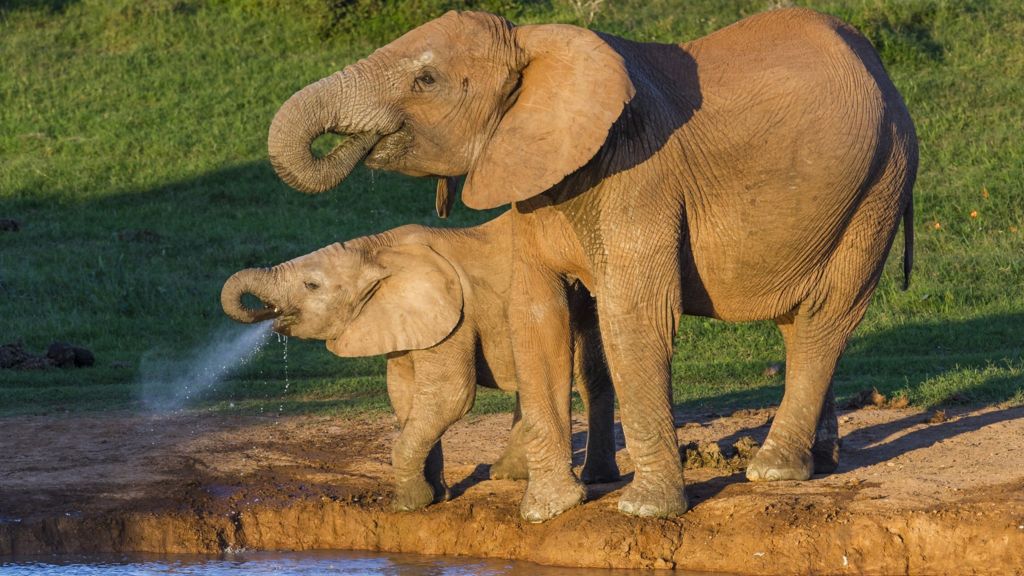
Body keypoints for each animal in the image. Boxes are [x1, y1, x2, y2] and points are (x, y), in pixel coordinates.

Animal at [220, 212, 620, 511]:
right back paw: (507, 474)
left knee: (587, 372)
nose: (269, 315)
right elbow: (404, 393)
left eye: (311, 285)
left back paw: (594, 477)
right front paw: (434, 497)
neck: (376, 250)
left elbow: (449, 397)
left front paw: (407, 505)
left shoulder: (455, 316)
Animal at [265, 7, 917, 521]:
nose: (352, 145)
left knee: (827, 314)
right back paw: (820, 461)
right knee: (798, 319)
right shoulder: (533, 180)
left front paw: (645, 511)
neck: (535, 45)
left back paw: (773, 469)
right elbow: (537, 316)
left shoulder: (640, 171)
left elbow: (634, 319)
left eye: (426, 80)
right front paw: (546, 512)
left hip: (880, 182)